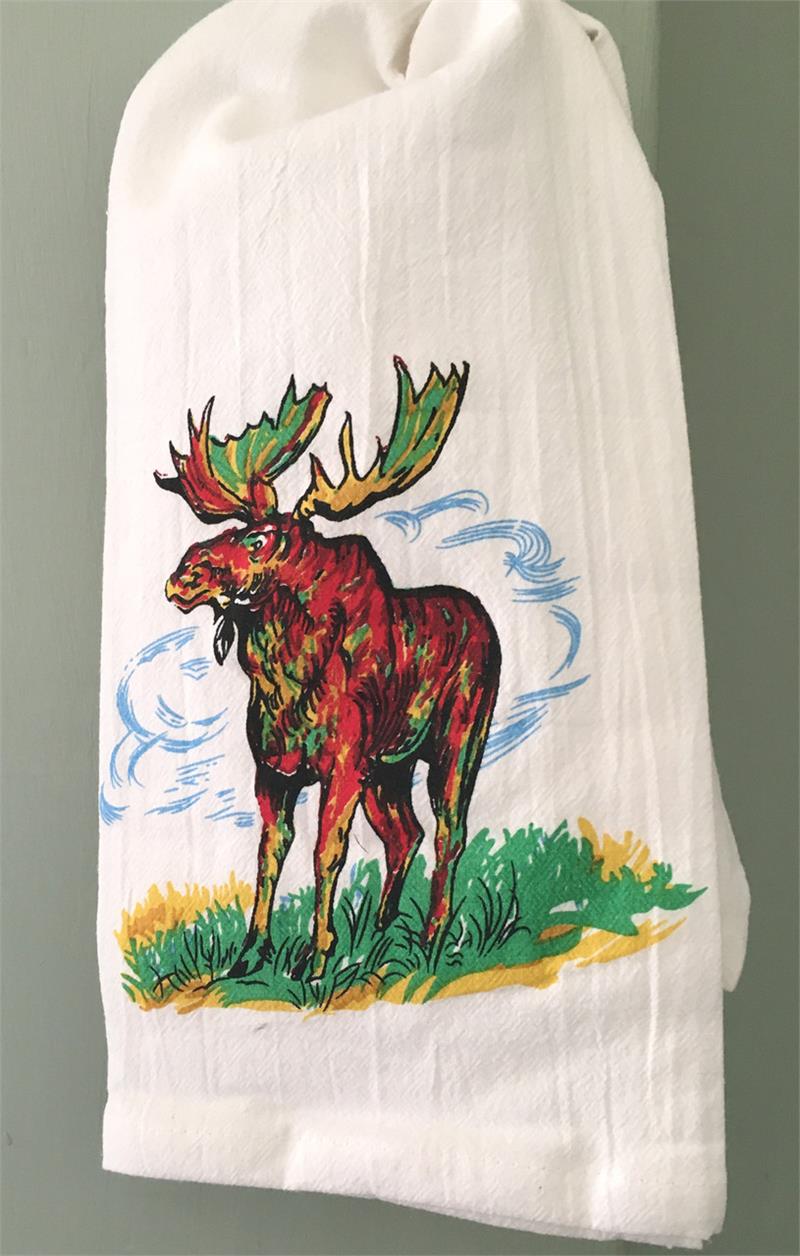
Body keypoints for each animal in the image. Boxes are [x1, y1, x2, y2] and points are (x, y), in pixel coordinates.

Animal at [156, 357, 501, 980]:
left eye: (260, 538)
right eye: (228, 529)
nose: (181, 576)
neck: (283, 682)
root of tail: (488, 620)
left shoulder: (343, 764)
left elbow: (326, 853)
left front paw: (317, 958)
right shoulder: (273, 769)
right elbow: (270, 854)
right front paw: (250, 953)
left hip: (459, 738)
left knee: (449, 831)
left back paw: (432, 938)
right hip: (390, 768)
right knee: (404, 834)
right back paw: (383, 929)